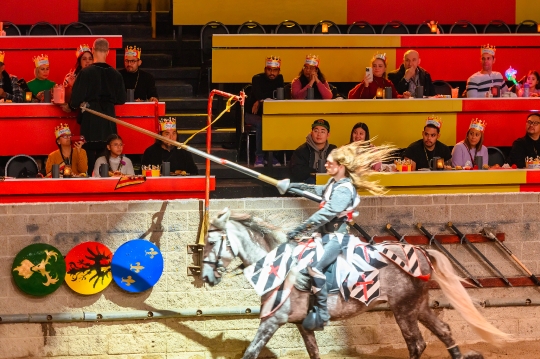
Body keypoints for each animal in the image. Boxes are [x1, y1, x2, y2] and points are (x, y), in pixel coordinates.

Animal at [201, 210, 506, 359]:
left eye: (212, 242)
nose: (205, 276)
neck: (281, 267)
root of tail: (420, 251)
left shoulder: (272, 321)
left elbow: (251, 352)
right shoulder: (302, 324)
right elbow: (314, 353)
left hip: (404, 310)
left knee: (416, 344)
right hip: (418, 307)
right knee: (443, 331)